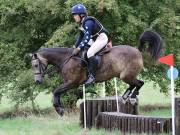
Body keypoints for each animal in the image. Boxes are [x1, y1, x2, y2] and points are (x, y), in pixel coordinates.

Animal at [29, 30, 163, 116]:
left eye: (35, 65)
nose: (38, 81)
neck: (67, 59)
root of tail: (137, 50)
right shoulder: (69, 83)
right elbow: (57, 92)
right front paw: (59, 109)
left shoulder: (72, 83)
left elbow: (56, 91)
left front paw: (59, 110)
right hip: (125, 76)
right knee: (134, 84)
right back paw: (125, 97)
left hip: (126, 75)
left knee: (139, 83)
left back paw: (133, 97)